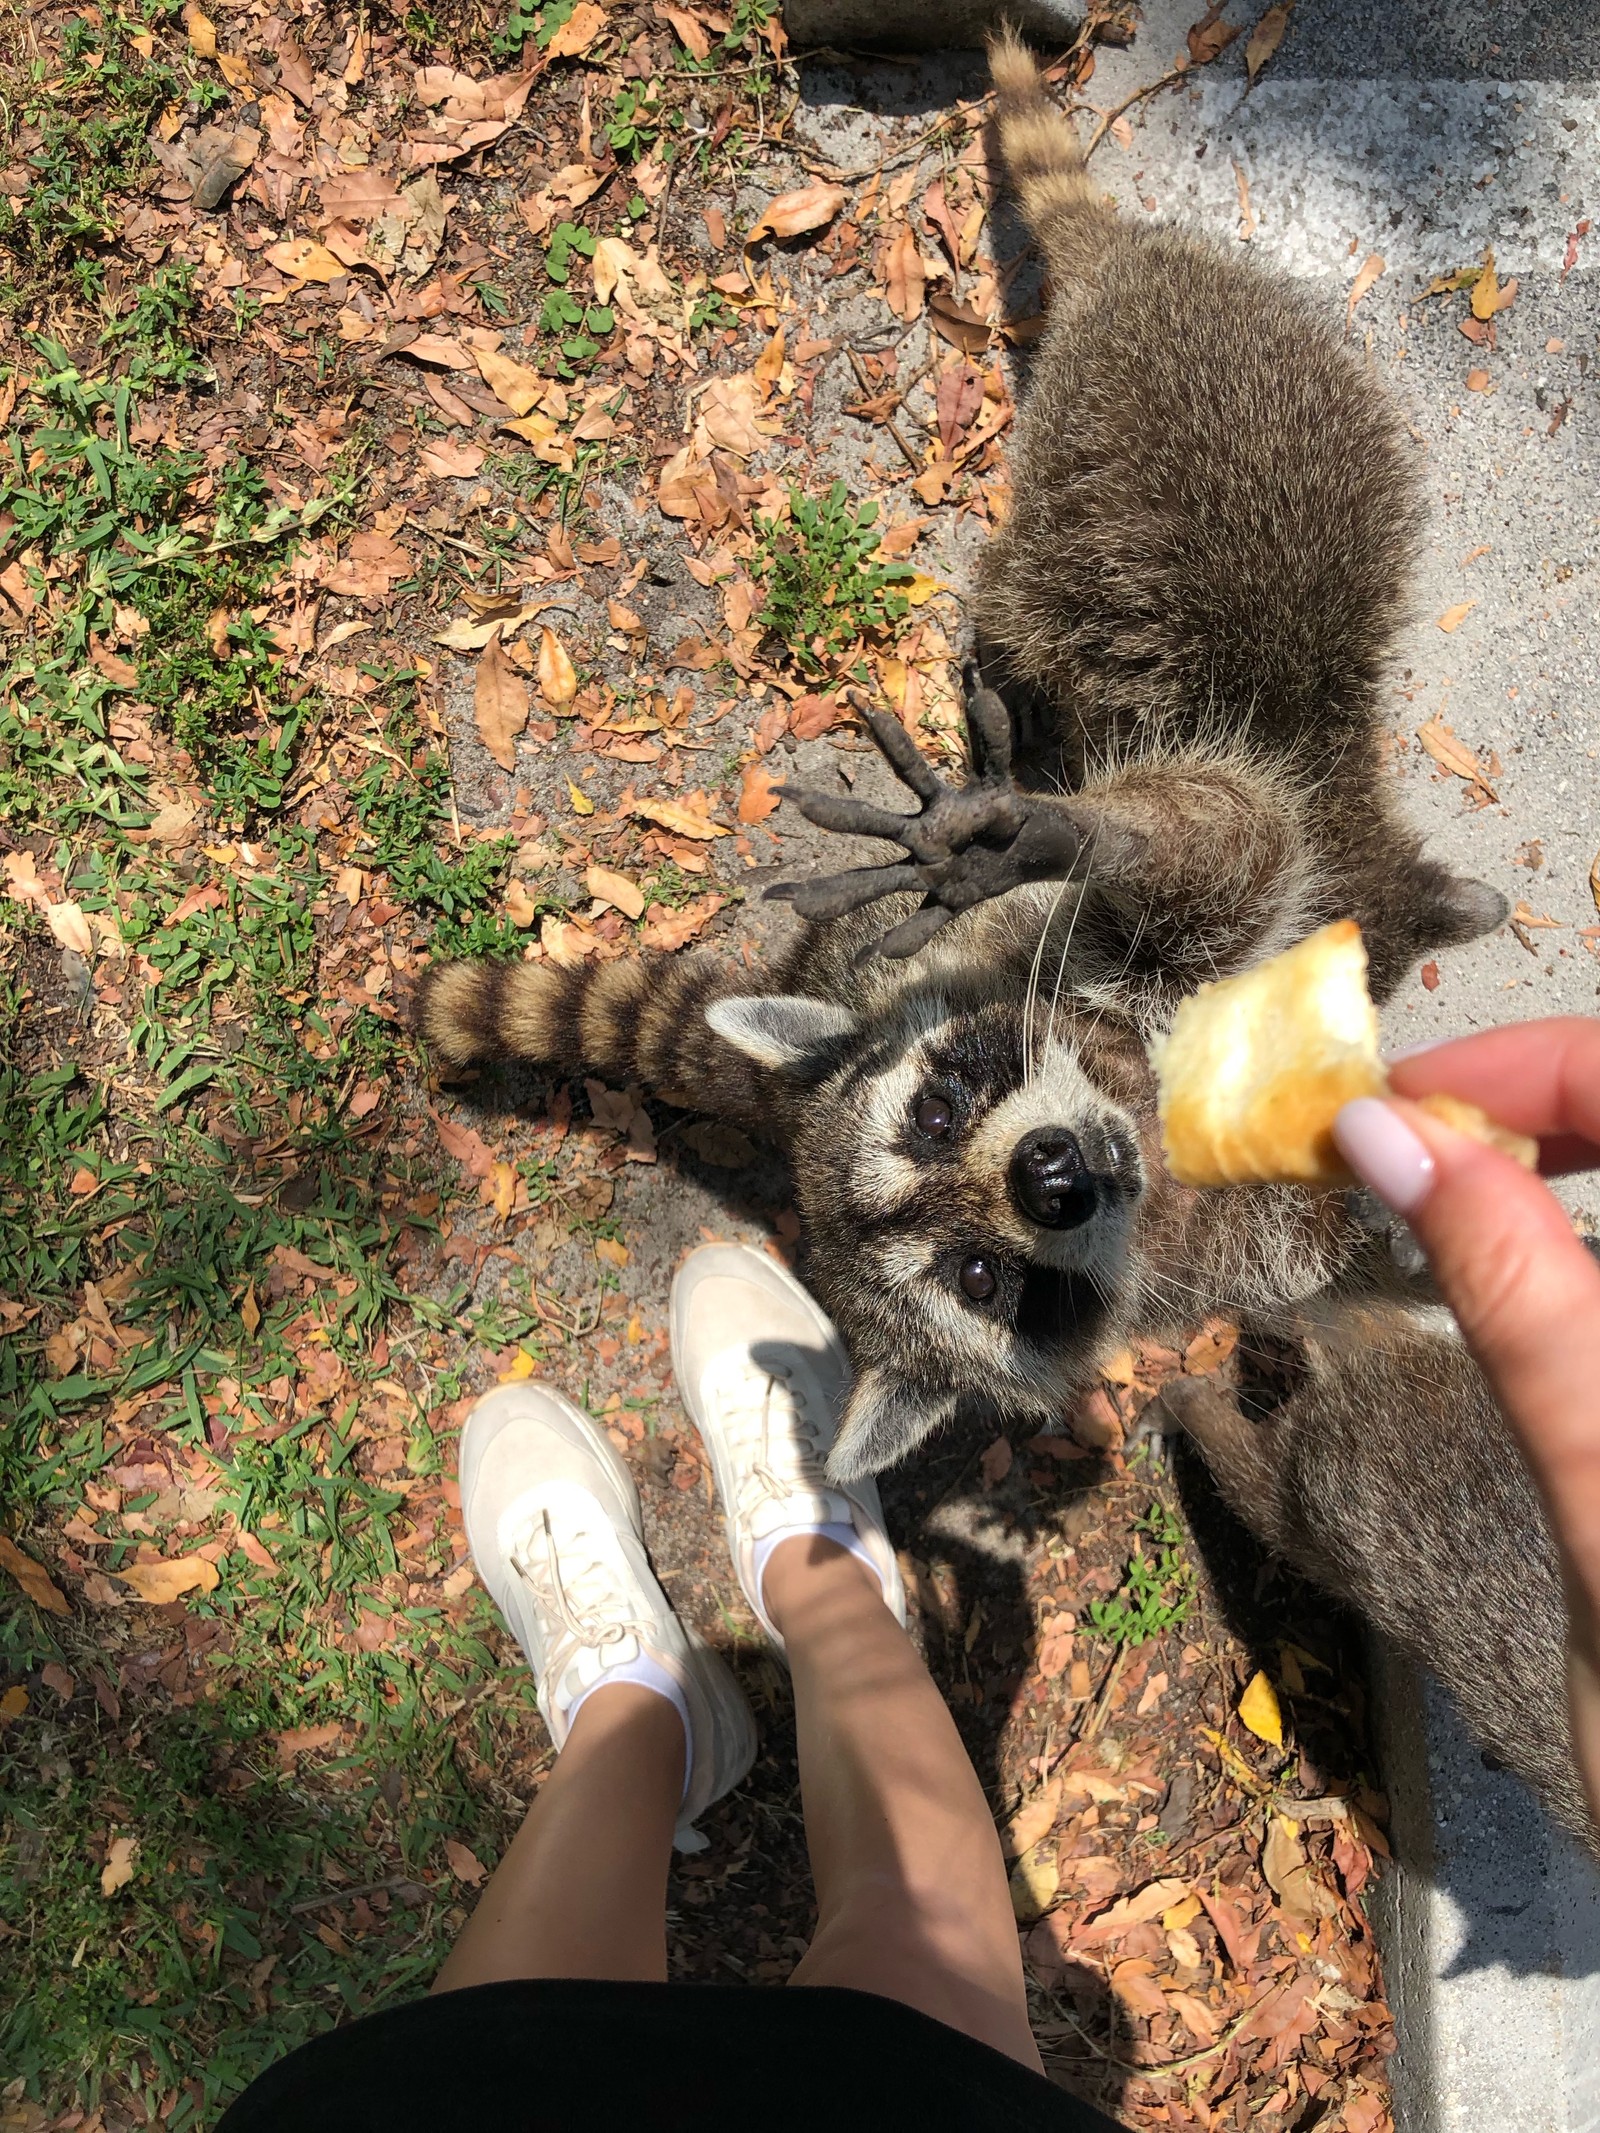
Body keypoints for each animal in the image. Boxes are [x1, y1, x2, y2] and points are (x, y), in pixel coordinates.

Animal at [413, 37, 1595, 1834]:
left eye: (953, 1101)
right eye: (980, 1275)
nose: (1057, 1178)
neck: (1142, 1103)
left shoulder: (1186, 930)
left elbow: (1218, 849)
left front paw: (1045, 827)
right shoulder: (1195, 1239)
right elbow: (1293, 1248)